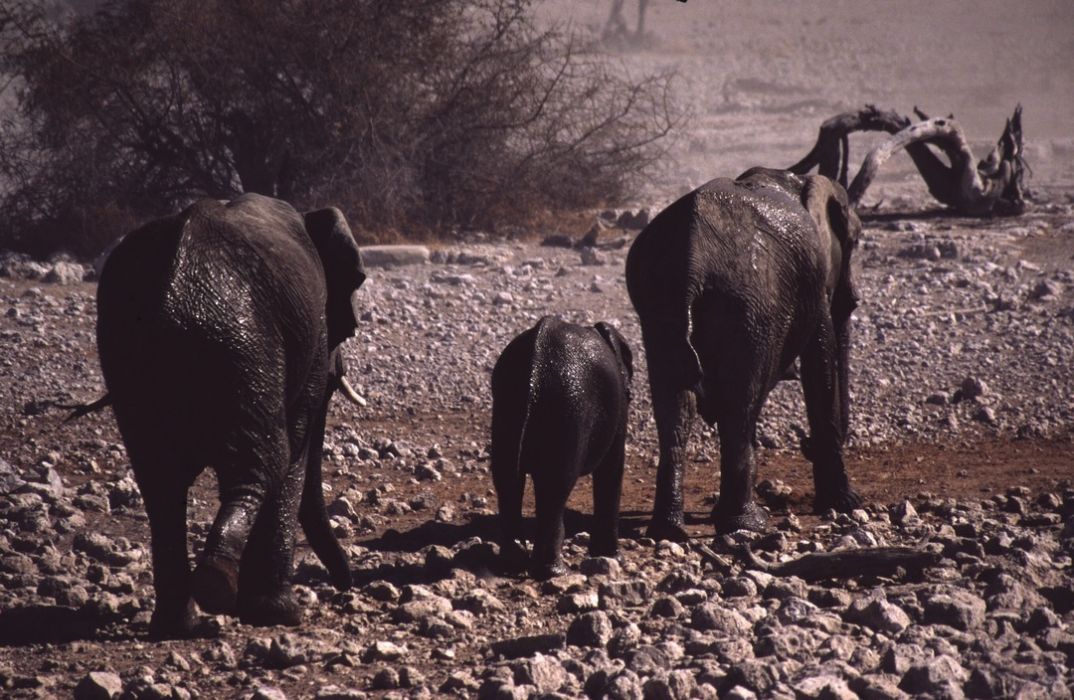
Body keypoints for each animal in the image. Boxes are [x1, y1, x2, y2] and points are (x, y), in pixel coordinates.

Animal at [96, 194, 365, 635]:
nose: (347, 583)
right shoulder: (314, 330)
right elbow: (296, 448)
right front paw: (280, 615)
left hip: (136, 358)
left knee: (161, 481)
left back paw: (179, 624)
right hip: (245, 346)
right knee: (264, 462)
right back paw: (218, 587)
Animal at [491, 317, 631, 579]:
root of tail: (535, 367)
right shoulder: (619, 408)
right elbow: (612, 468)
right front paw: (612, 558)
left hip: (506, 403)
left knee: (506, 479)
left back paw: (512, 563)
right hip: (566, 411)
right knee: (555, 486)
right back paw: (556, 572)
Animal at [627, 166, 863, 538]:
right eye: (855, 241)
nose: (805, 445)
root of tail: (692, 259)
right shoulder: (815, 287)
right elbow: (820, 362)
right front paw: (845, 503)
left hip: (661, 300)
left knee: (677, 410)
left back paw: (668, 529)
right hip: (749, 304)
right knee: (740, 405)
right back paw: (747, 524)